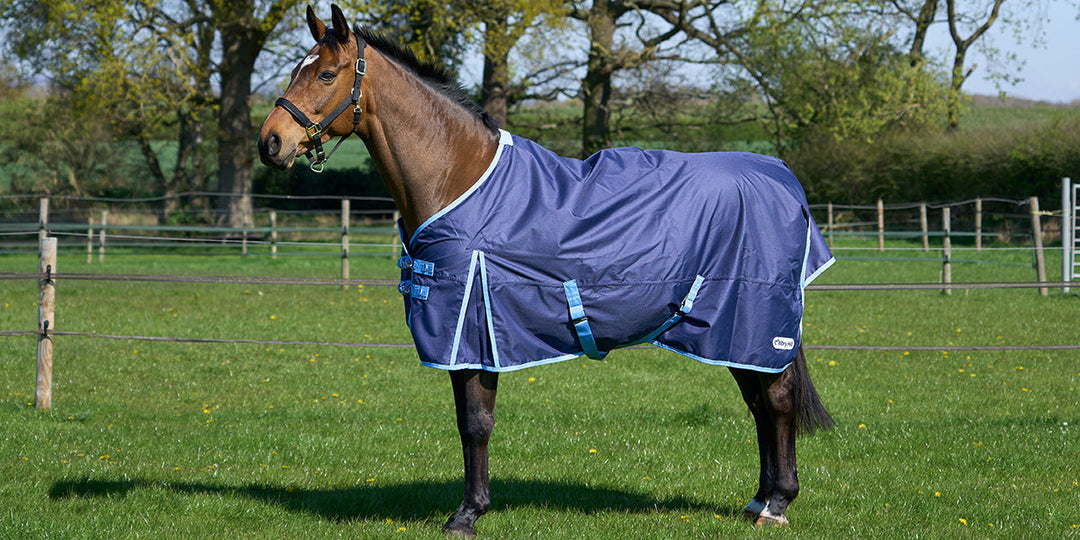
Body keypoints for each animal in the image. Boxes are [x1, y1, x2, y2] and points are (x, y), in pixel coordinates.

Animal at [258, 5, 835, 536]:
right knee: (760, 405)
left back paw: (777, 504)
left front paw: (466, 515)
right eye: (296, 70)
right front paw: (471, 508)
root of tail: (779, 174)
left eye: (325, 74)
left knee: (776, 402)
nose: (271, 143)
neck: (458, 176)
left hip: (754, 320)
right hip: (732, 332)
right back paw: (757, 501)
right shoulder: (469, 337)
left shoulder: (472, 329)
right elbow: (470, 423)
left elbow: (476, 423)